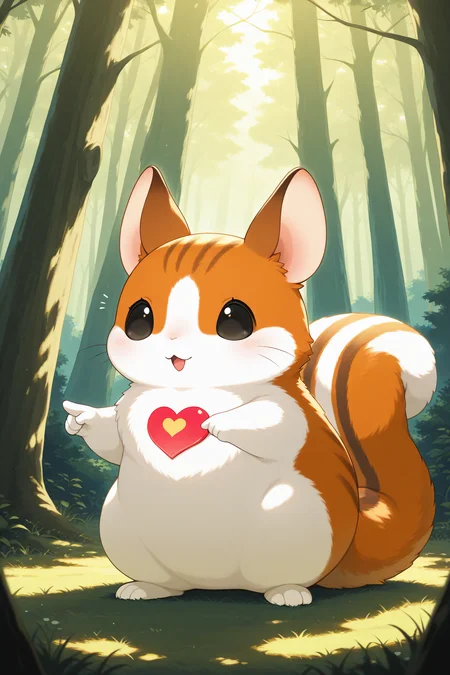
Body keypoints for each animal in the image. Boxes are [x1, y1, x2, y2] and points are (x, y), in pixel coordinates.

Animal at [63, 166, 436, 606]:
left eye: (235, 320)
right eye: (139, 317)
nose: (176, 356)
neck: (193, 391)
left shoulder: (292, 414)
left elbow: (270, 424)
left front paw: (217, 424)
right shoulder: (128, 411)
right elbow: (110, 441)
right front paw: (81, 418)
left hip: (294, 525)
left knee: (285, 577)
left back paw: (287, 593)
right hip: (121, 526)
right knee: (166, 581)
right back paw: (145, 588)